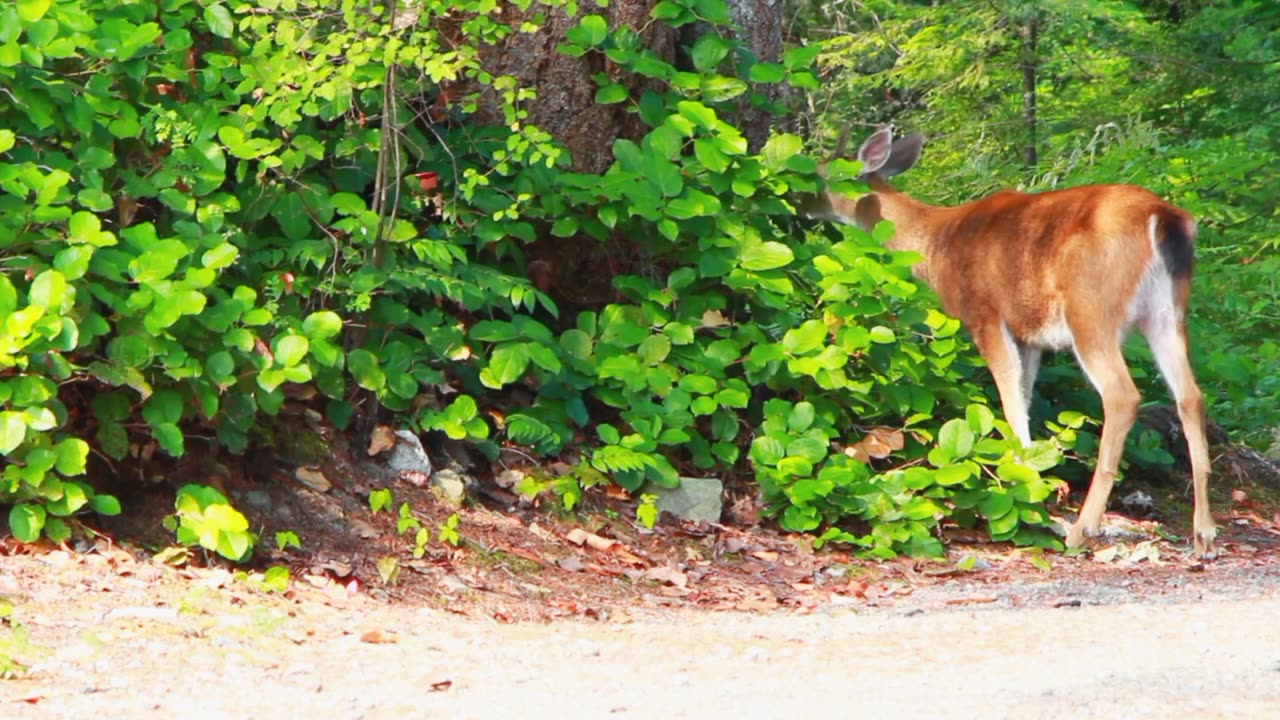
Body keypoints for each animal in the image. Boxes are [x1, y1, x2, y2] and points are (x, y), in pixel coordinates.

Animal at [808, 127, 1218, 556]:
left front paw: (1022, 486)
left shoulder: (984, 313)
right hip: (1167, 313)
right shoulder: (1029, 334)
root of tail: (1163, 218)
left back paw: (1081, 529)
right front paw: (1029, 476)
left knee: (1122, 396)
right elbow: (1023, 395)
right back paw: (1204, 533)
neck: (936, 246)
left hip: (1092, 310)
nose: (801, 203)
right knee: (1191, 395)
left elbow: (1009, 399)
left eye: (820, 174)